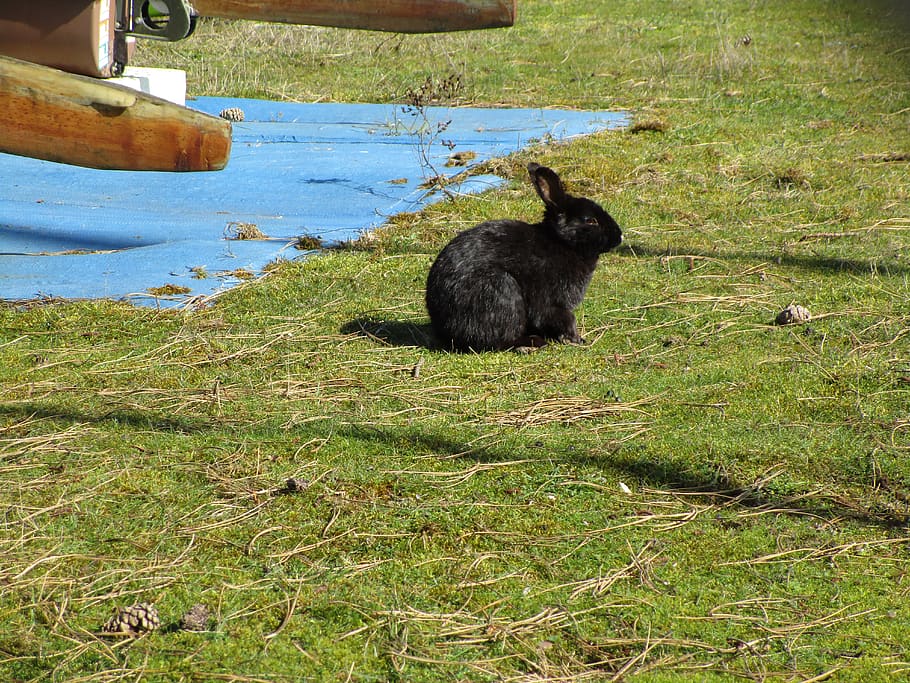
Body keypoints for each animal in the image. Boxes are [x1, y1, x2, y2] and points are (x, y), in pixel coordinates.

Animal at [425, 162, 622, 352]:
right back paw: (532, 344)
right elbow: (564, 318)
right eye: (591, 221)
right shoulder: (553, 301)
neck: (562, 242)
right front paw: (576, 339)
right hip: (501, 291)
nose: (619, 236)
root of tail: (446, 329)